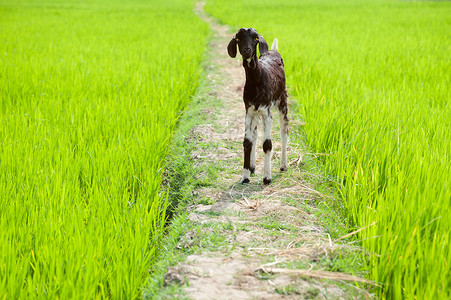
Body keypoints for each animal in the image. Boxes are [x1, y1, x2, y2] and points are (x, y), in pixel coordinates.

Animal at [228, 27, 292, 185]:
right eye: (238, 39)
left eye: (256, 38)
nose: (247, 50)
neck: (257, 79)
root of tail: (274, 51)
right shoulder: (249, 111)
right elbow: (247, 142)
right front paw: (245, 176)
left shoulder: (266, 112)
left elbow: (267, 144)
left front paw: (267, 178)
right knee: (256, 134)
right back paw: (252, 166)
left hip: (282, 101)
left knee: (284, 131)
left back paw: (283, 166)